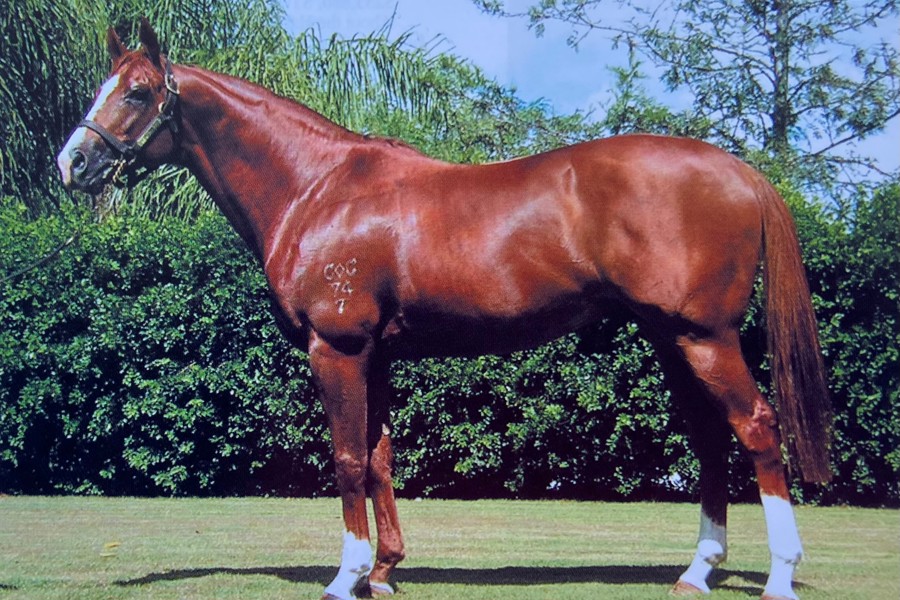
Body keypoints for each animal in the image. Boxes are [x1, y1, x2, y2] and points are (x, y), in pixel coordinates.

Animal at [57, 19, 831, 600]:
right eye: (102, 87)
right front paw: (384, 571)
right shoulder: (376, 353)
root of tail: (740, 171)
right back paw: (697, 571)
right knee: (711, 439)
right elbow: (379, 456)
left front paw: (345, 577)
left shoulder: (337, 349)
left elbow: (346, 457)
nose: (72, 165)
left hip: (706, 337)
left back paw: (780, 577)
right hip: (674, 339)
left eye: (137, 92)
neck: (318, 188)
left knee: (757, 428)